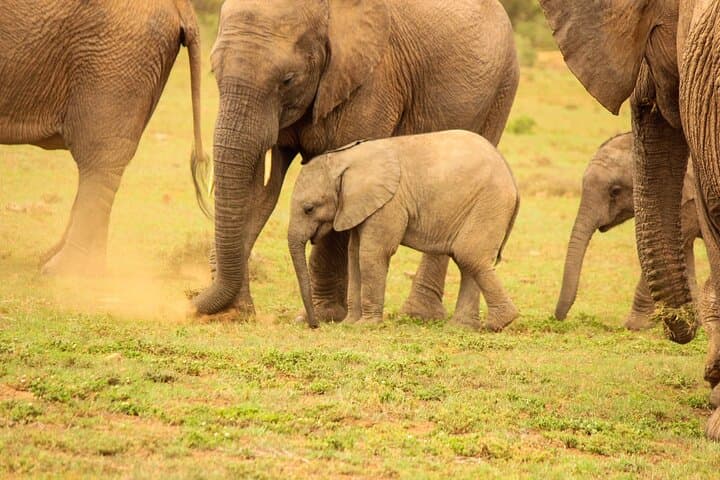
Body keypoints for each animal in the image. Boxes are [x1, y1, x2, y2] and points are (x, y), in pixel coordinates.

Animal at [288, 130, 519, 331]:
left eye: (309, 209)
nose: (314, 325)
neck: (343, 158)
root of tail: (513, 181)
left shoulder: (389, 203)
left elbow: (371, 253)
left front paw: (366, 326)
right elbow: (354, 255)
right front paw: (350, 324)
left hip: (489, 204)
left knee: (469, 256)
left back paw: (498, 323)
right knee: (468, 261)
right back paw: (461, 327)